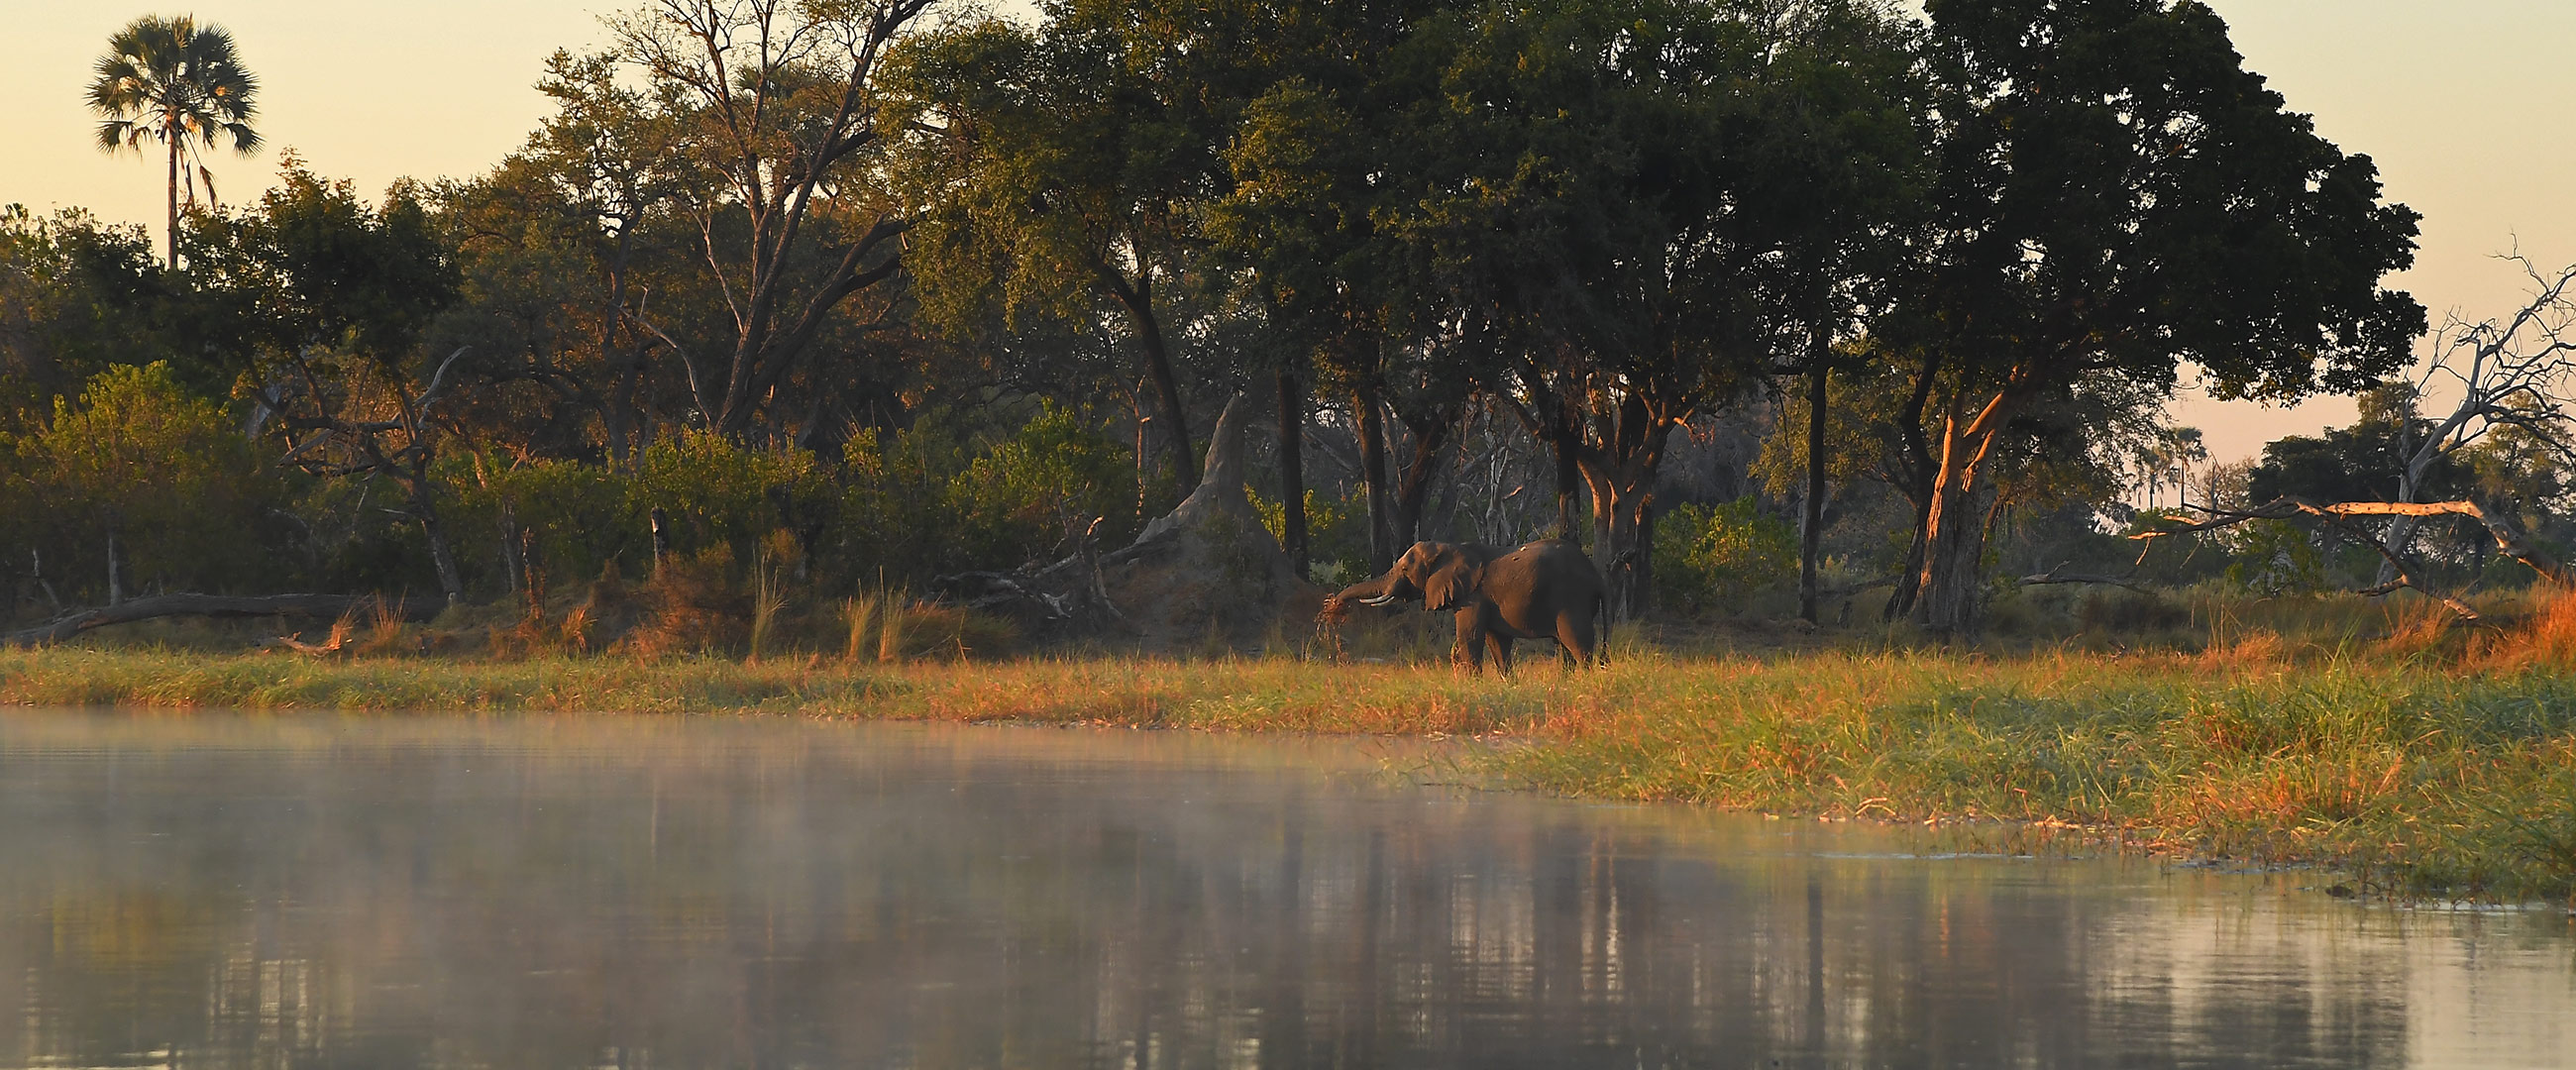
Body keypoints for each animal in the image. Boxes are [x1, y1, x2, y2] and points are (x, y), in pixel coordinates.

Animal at [1329, 541, 1607, 675]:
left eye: (1405, 569)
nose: (1335, 605)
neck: (1450, 548)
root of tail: (1597, 576)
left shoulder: (1473, 597)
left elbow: (1470, 636)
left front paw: (1475, 683)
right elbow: (1497, 643)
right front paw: (1508, 684)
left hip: (1571, 599)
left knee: (1578, 643)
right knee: (1565, 648)